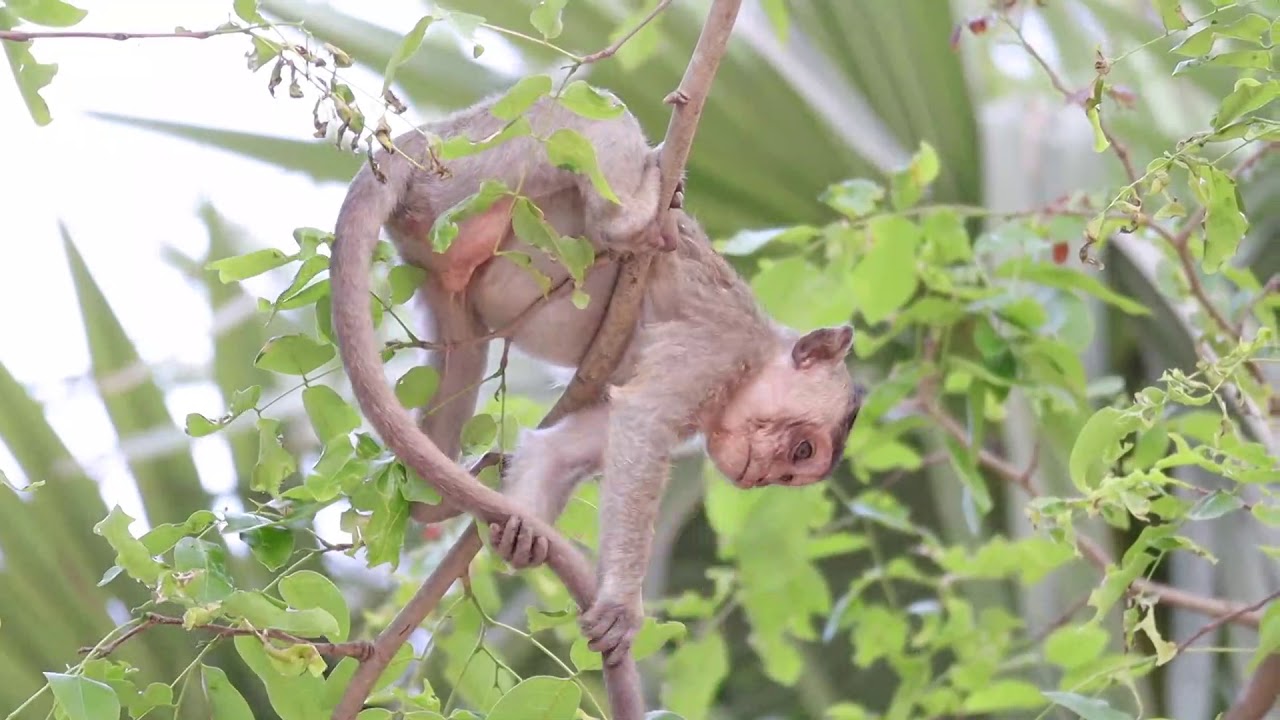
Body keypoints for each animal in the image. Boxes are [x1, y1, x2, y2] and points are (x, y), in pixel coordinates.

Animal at [329, 86, 865, 667]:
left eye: (789, 476)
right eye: (802, 452)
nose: (761, 475)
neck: (754, 360)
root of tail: (414, 140)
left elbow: (561, 450)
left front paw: (520, 537)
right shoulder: (712, 353)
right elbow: (643, 421)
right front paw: (624, 607)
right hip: (477, 161)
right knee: (589, 113)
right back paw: (630, 220)